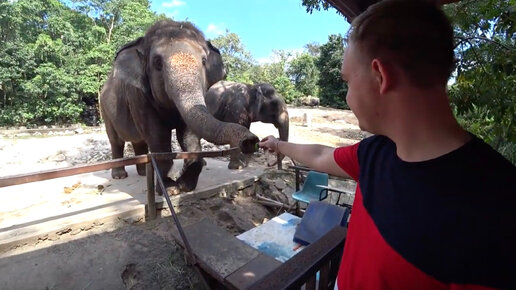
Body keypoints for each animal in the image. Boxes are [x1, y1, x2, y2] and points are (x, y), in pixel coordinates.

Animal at [100, 19, 258, 194]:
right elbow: (157, 134)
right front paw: (169, 190)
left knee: (139, 141)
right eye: (157, 63)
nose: (251, 141)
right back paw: (120, 176)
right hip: (104, 110)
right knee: (116, 141)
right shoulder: (137, 95)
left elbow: (187, 134)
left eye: (204, 61)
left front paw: (185, 186)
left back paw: (143, 174)